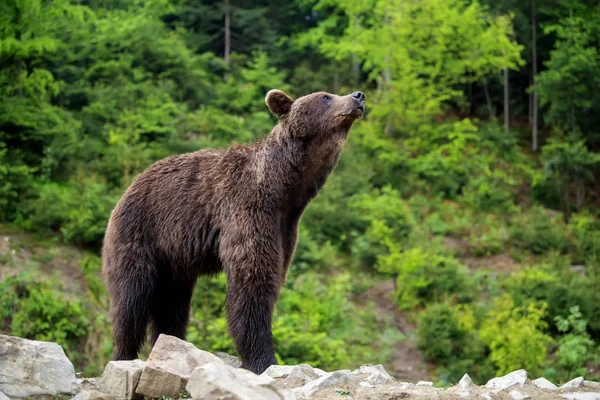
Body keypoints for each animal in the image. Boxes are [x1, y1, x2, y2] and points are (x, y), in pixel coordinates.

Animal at [103, 89, 366, 374]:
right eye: (326, 97)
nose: (358, 96)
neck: (285, 188)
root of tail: (128, 188)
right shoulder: (247, 208)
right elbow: (252, 279)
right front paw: (264, 358)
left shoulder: (286, 227)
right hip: (140, 233)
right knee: (132, 299)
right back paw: (124, 355)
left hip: (174, 259)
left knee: (173, 304)